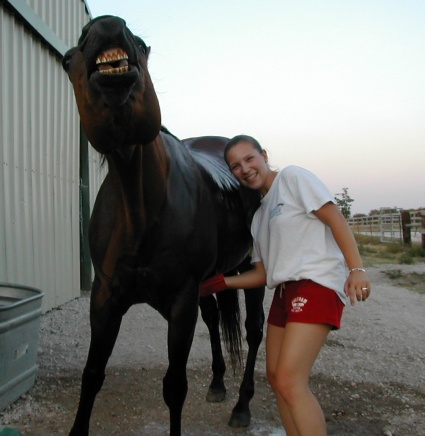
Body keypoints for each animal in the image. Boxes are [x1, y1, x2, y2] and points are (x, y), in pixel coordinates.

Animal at [61, 15, 264, 434]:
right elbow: (92, 375)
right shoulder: (104, 298)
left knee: (253, 332)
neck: (139, 214)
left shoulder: (181, 303)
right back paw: (218, 384)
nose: (105, 26)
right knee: (216, 320)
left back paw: (242, 406)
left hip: (251, 270)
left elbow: (175, 386)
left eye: (140, 44)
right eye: (68, 59)